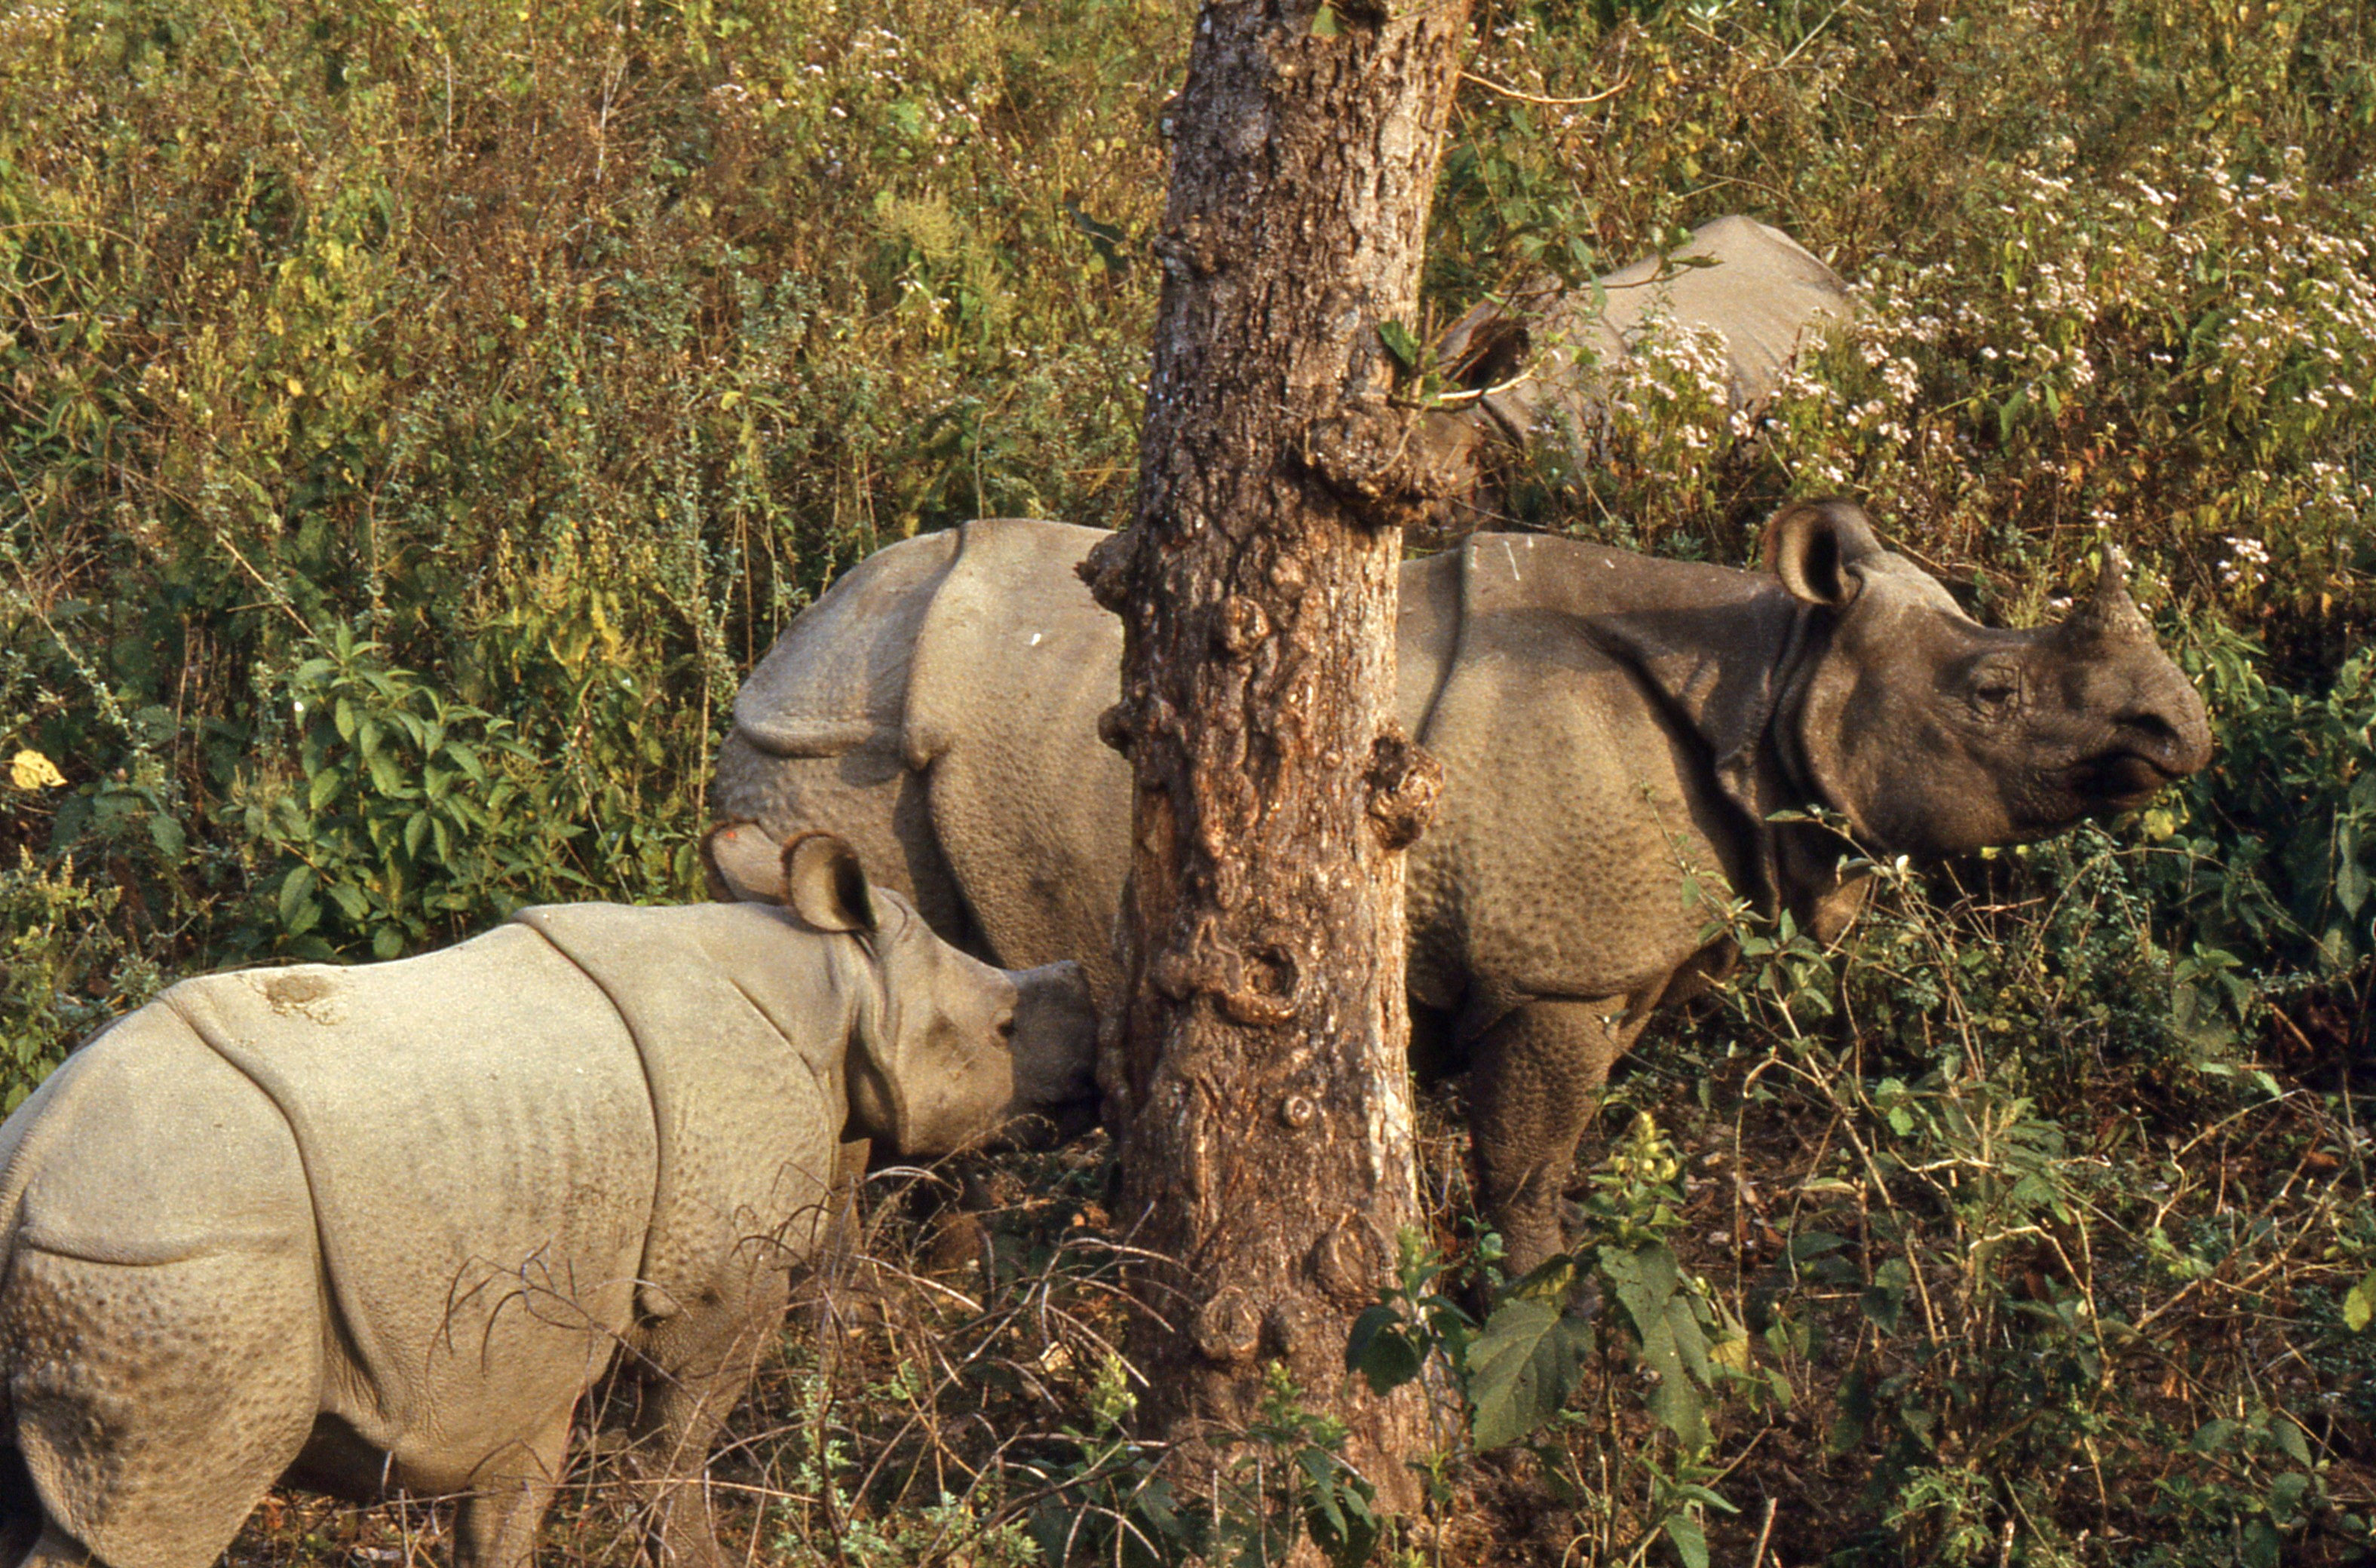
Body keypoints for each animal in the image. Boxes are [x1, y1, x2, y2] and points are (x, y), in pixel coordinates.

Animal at [0, 831, 1093, 1568]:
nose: (1086, 1011)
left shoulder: (527, 1345)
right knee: (150, 1524)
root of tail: (29, 1167)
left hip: (117, 1264)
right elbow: (676, 1446)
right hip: (175, 1265)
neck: (830, 986)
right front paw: (696, 1554)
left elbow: (521, 1489)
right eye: (1001, 1029)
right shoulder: (717, 1281)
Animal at [713, 501, 2214, 1273]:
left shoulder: (1609, 959)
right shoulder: (1552, 970)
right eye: (1993, 693)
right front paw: (1547, 1304)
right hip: (832, 761)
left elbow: (1542, 1146)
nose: (2178, 732)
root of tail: (784, 654)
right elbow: (1530, 1161)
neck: (1767, 678)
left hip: (843, 742)